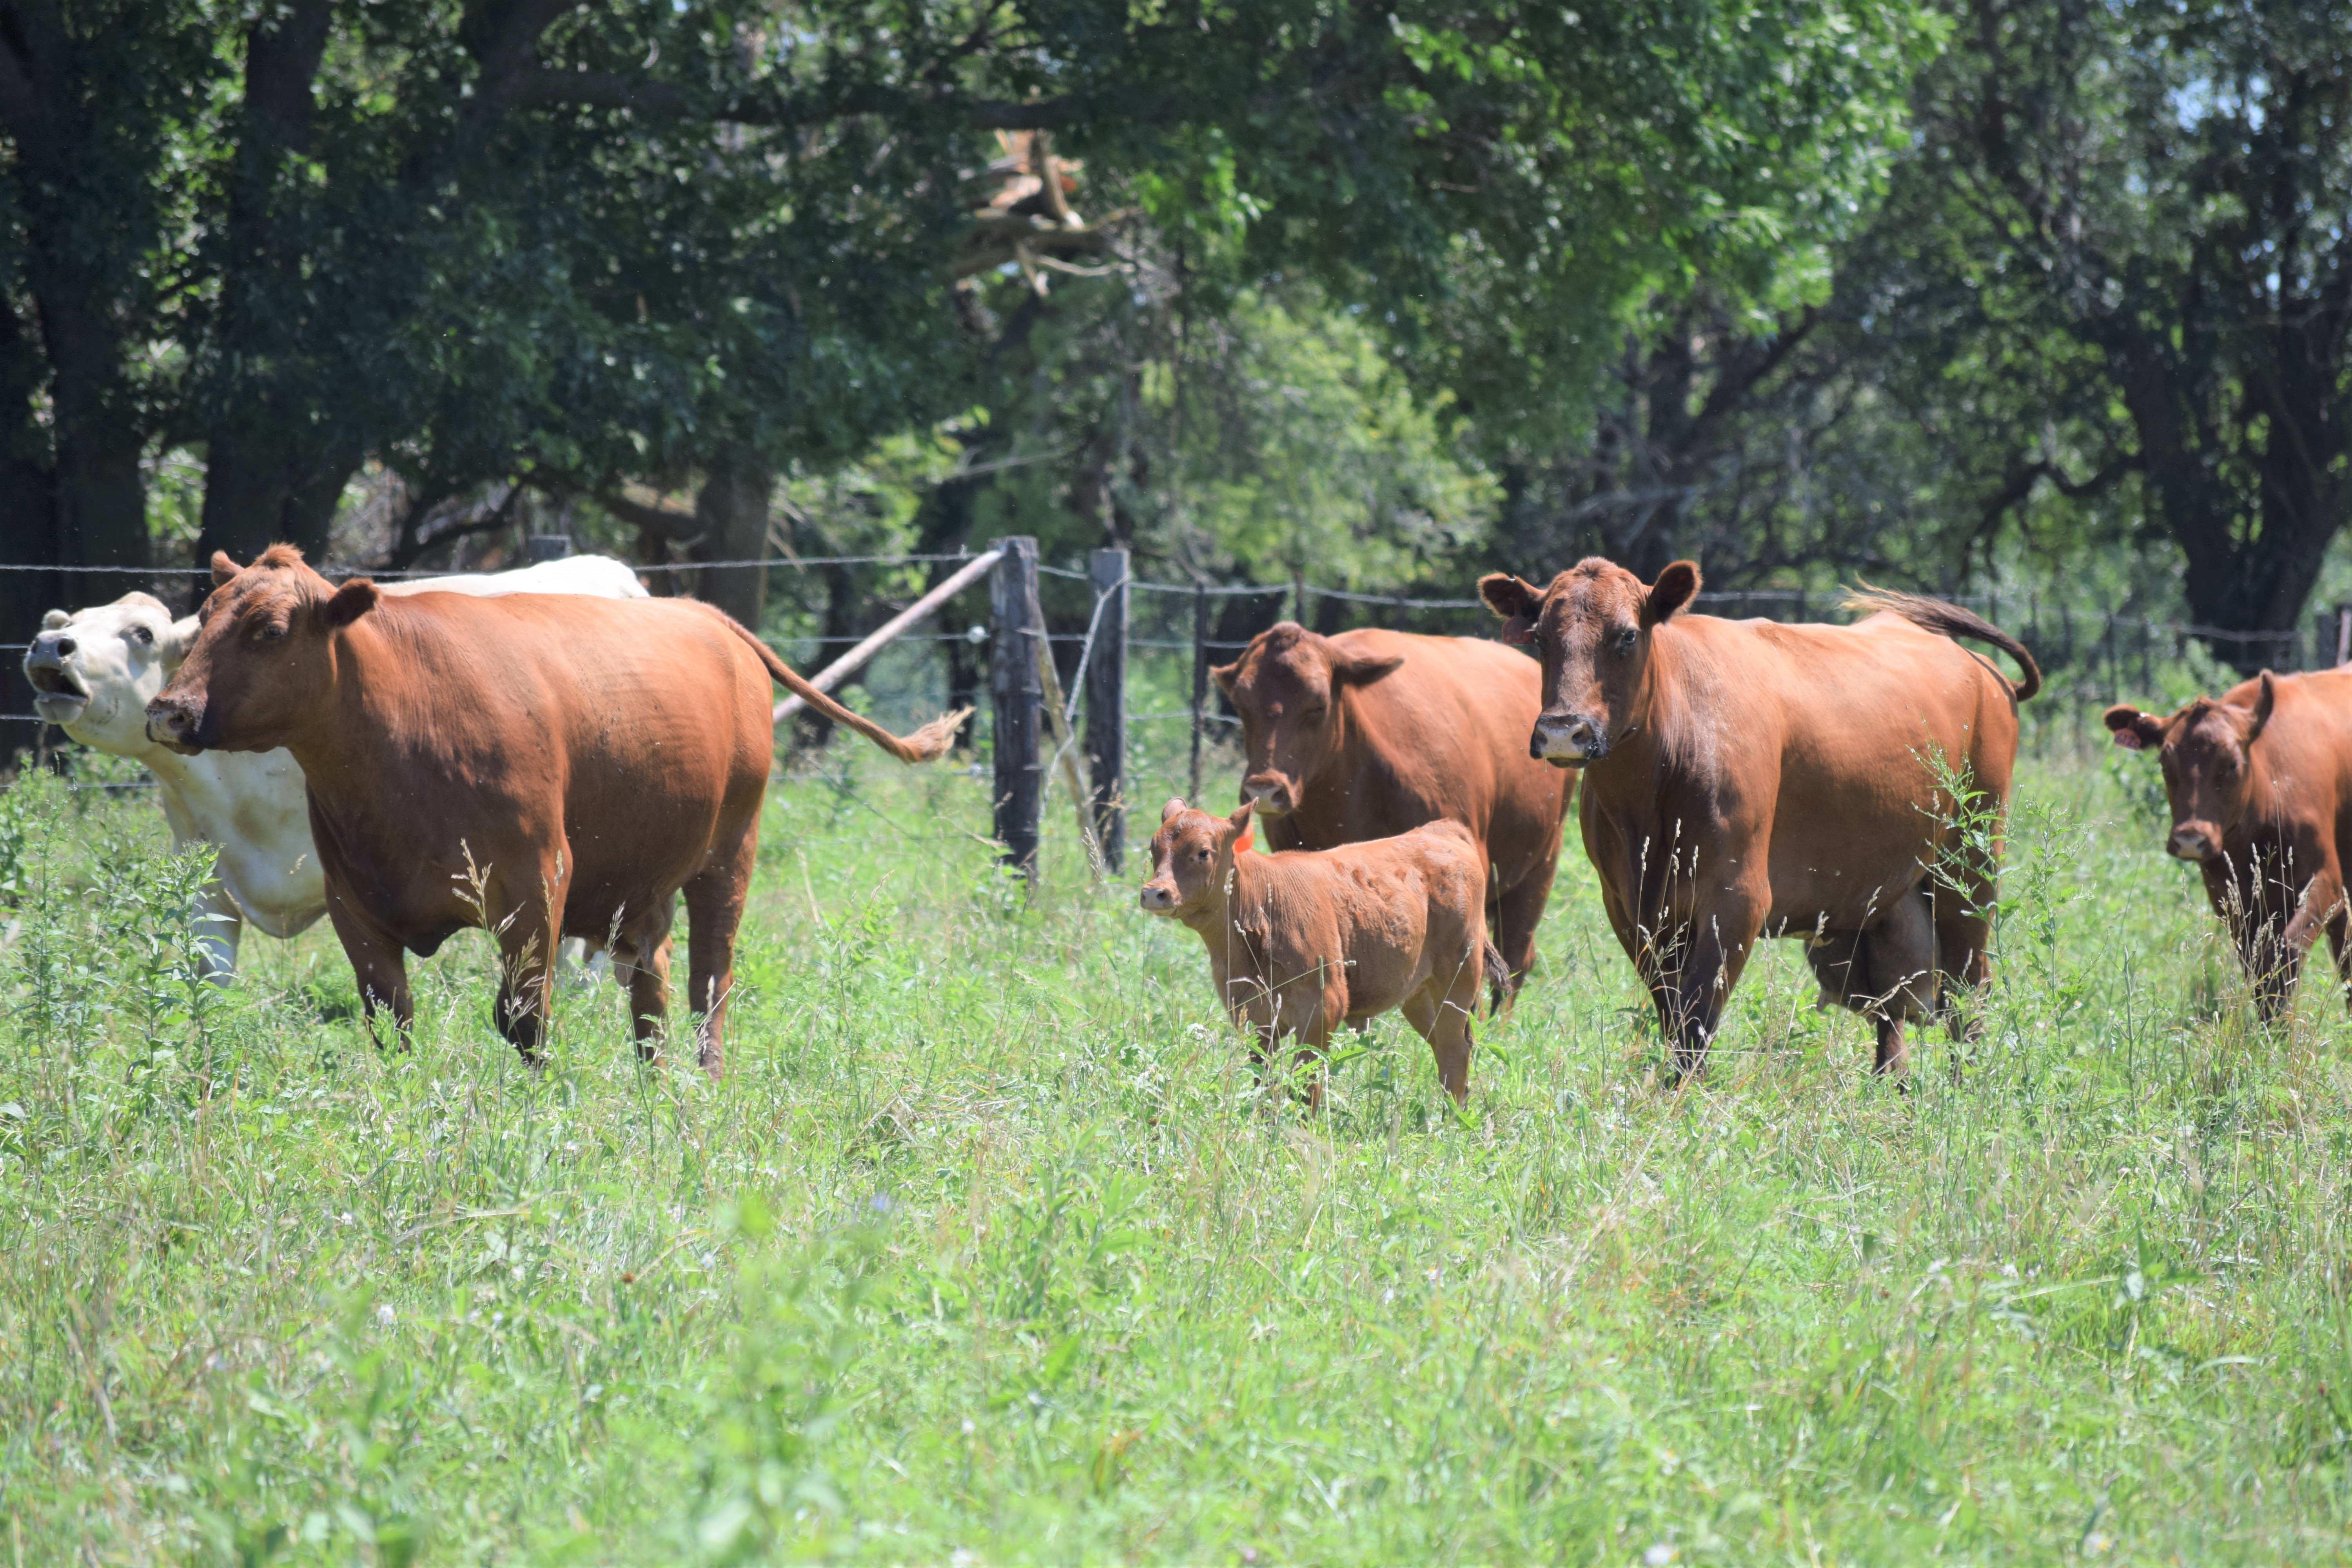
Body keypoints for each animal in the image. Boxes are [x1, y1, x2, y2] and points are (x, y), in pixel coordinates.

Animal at [144, 546, 962, 1074]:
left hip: (730, 856)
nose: (169, 711)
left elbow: (523, 1021)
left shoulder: (536, 887)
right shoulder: (357, 908)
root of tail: (704, 616)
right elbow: (391, 1024)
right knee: (652, 984)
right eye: (204, 617)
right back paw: (654, 1086)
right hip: (642, 884)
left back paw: (705, 1080)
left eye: (269, 631)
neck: (402, 726)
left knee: (710, 984)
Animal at [1140, 798, 1505, 1104]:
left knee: (1453, 1049)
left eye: (1203, 852)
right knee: (1446, 1045)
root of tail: (1441, 831)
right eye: (1154, 847)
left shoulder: (1322, 1008)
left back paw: (1451, 1119)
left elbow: (1307, 1084)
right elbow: (1264, 1081)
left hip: (1457, 980)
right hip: (1419, 993)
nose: (1154, 892)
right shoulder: (1253, 1014)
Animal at [1478, 558, 2041, 1080]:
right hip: (1878, 901)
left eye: (1627, 636)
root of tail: (1978, 666)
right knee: (1892, 1007)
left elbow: (1695, 1022)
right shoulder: (1631, 909)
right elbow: (1671, 1012)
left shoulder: (1737, 900)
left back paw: (1961, 1086)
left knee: (1969, 988)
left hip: (1971, 865)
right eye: (1540, 638)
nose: (1562, 730)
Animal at [2105, 670, 2352, 1019]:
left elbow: (2285, 955)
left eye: (2232, 764)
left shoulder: (2327, 882)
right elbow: (2259, 970)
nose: (2190, 838)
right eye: (2165, 765)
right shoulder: (2232, 901)